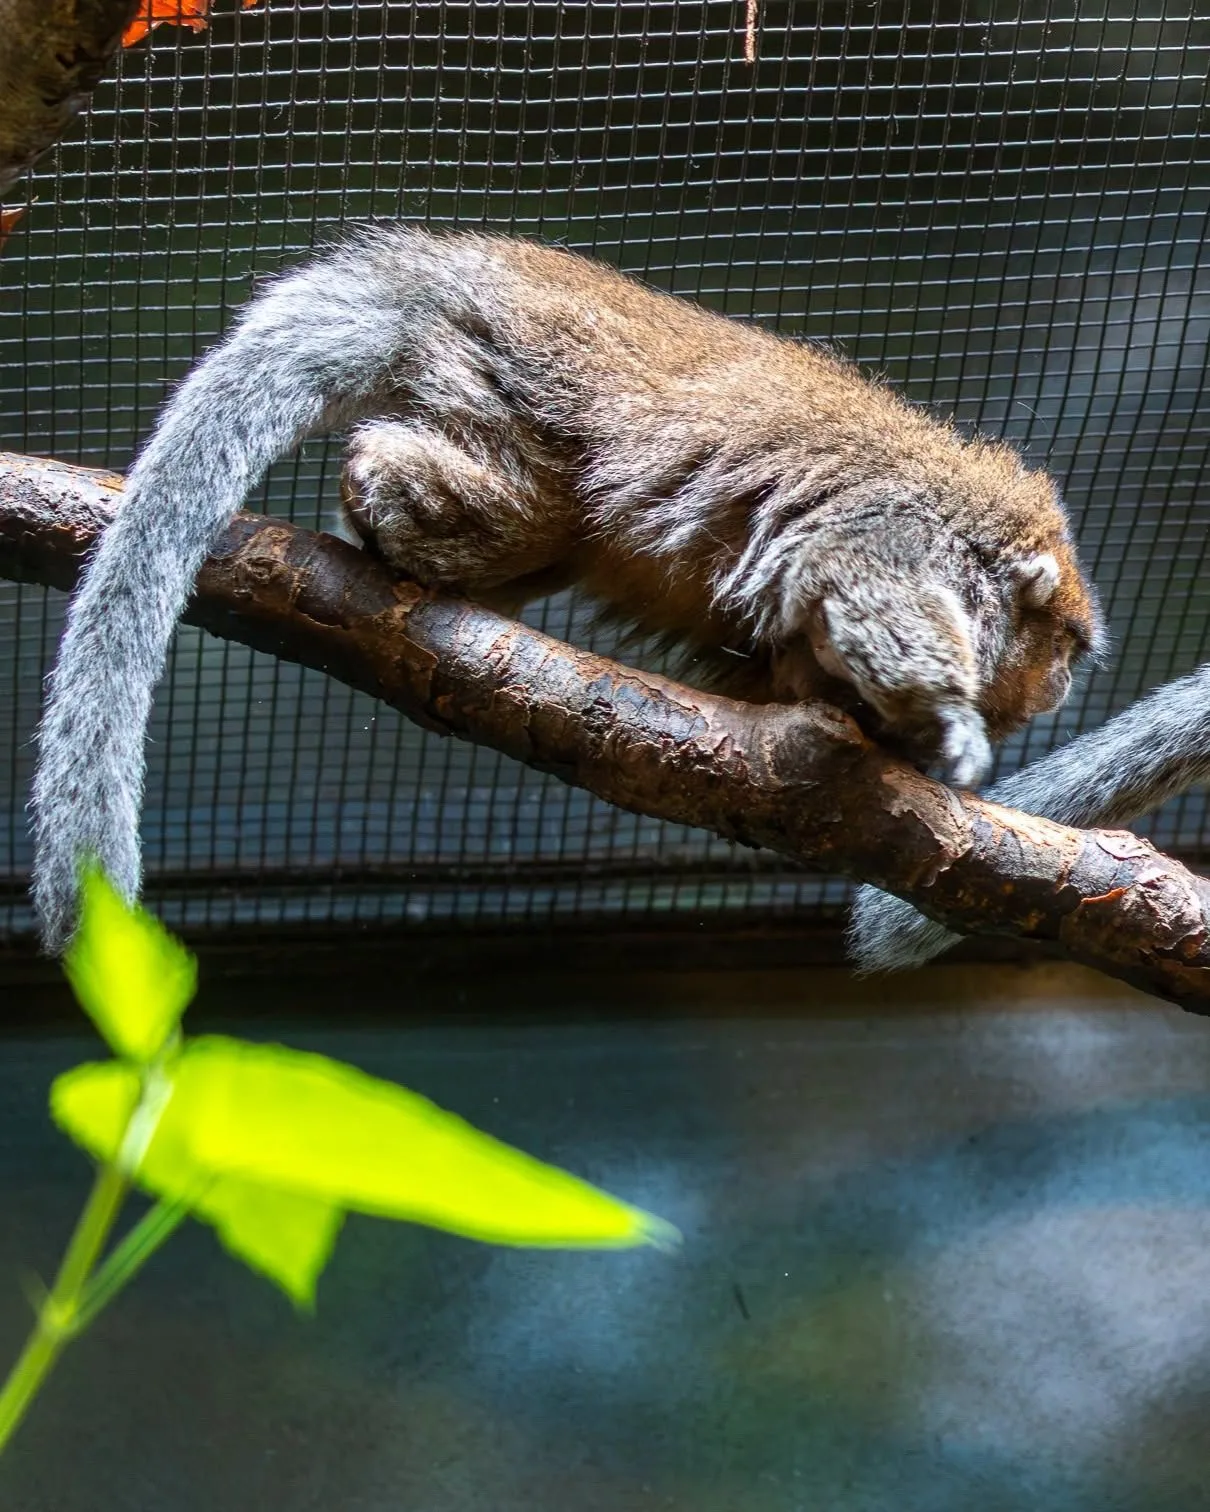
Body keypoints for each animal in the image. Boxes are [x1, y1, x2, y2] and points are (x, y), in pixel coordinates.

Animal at [29, 225, 1102, 952]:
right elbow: (864, 590)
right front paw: (950, 729)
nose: (1061, 684)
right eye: (1067, 647)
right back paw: (382, 494)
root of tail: (450, 268)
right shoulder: (901, 537)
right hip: (514, 376)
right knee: (519, 503)